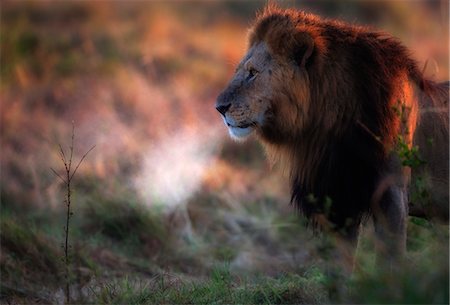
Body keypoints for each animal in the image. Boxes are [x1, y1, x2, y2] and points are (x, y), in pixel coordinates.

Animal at [216, 5, 448, 270]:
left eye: (253, 73)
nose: (219, 108)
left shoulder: (392, 191)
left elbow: (390, 259)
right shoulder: (337, 198)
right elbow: (340, 262)